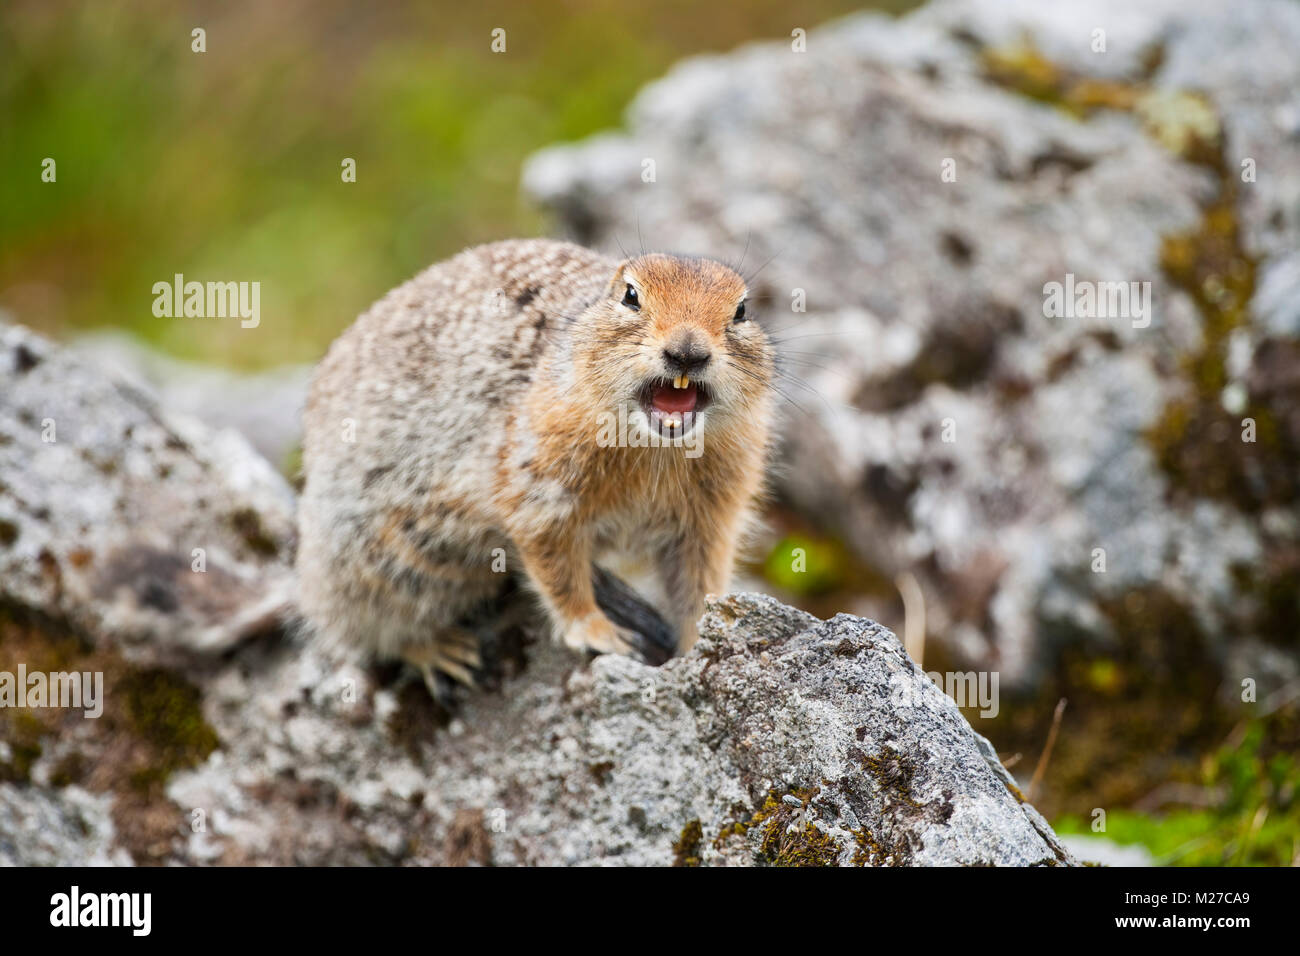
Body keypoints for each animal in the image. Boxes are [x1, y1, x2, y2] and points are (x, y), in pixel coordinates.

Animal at [297, 239, 769, 697]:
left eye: (742, 310)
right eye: (630, 296)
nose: (687, 352)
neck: (655, 450)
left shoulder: (712, 515)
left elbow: (700, 580)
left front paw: (699, 644)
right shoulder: (539, 486)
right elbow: (556, 565)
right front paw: (599, 632)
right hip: (376, 560)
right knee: (362, 628)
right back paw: (443, 651)